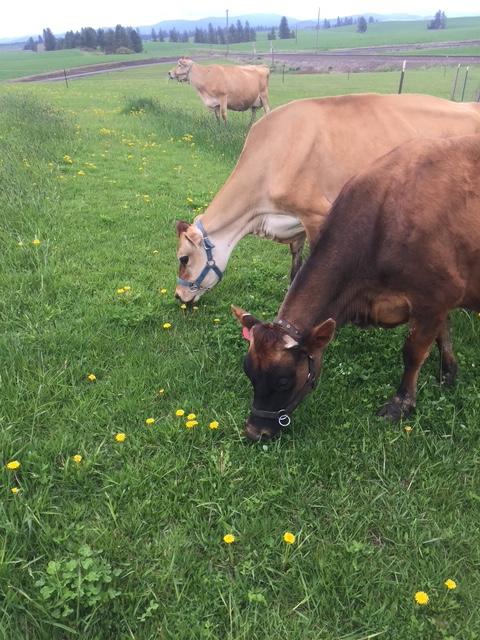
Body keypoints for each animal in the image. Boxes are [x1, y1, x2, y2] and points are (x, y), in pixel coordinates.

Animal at [233, 134, 480, 441]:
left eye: (283, 380)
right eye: (249, 373)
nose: (255, 431)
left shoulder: (435, 297)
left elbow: (413, 352)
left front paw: (401, 404)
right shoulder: (439, 301)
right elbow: (443, 333)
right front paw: (448, 373)